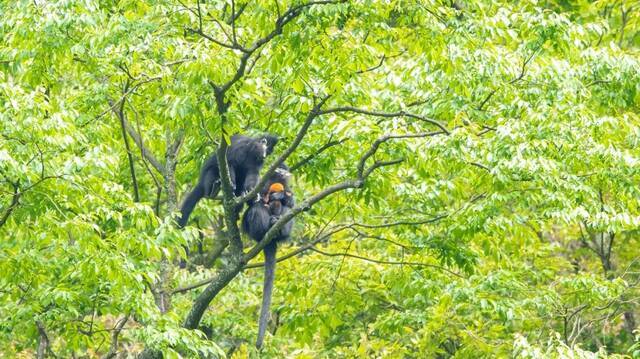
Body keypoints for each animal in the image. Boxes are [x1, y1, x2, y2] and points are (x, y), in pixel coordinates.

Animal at [242, 164, 296, 348]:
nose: (281, 172)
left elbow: (291, 203)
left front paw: (282, 196)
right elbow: (252, 200)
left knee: (286, 210)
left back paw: (278, 226)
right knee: (257, 209)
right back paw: (265, 228)